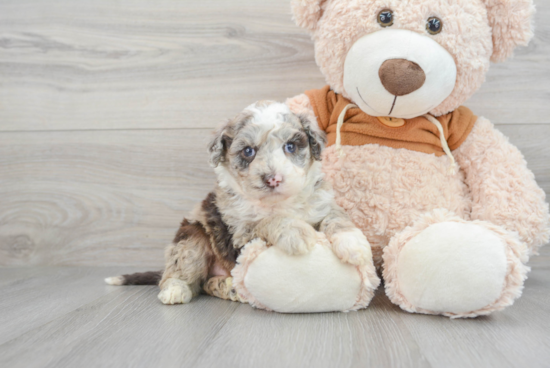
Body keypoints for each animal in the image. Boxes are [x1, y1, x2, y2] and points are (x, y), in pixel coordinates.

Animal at [106, 100, 376, 304]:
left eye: (290, 146)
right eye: (248, 151)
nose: (273, 178)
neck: (278, 202)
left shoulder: (321, 203)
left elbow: (338, 218)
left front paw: (354, 245)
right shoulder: (241, 232)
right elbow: (269, 220)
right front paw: (296, 233)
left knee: (206, 284)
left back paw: (230, 287)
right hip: (191, 239)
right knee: (182, 274)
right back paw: (175, 290)